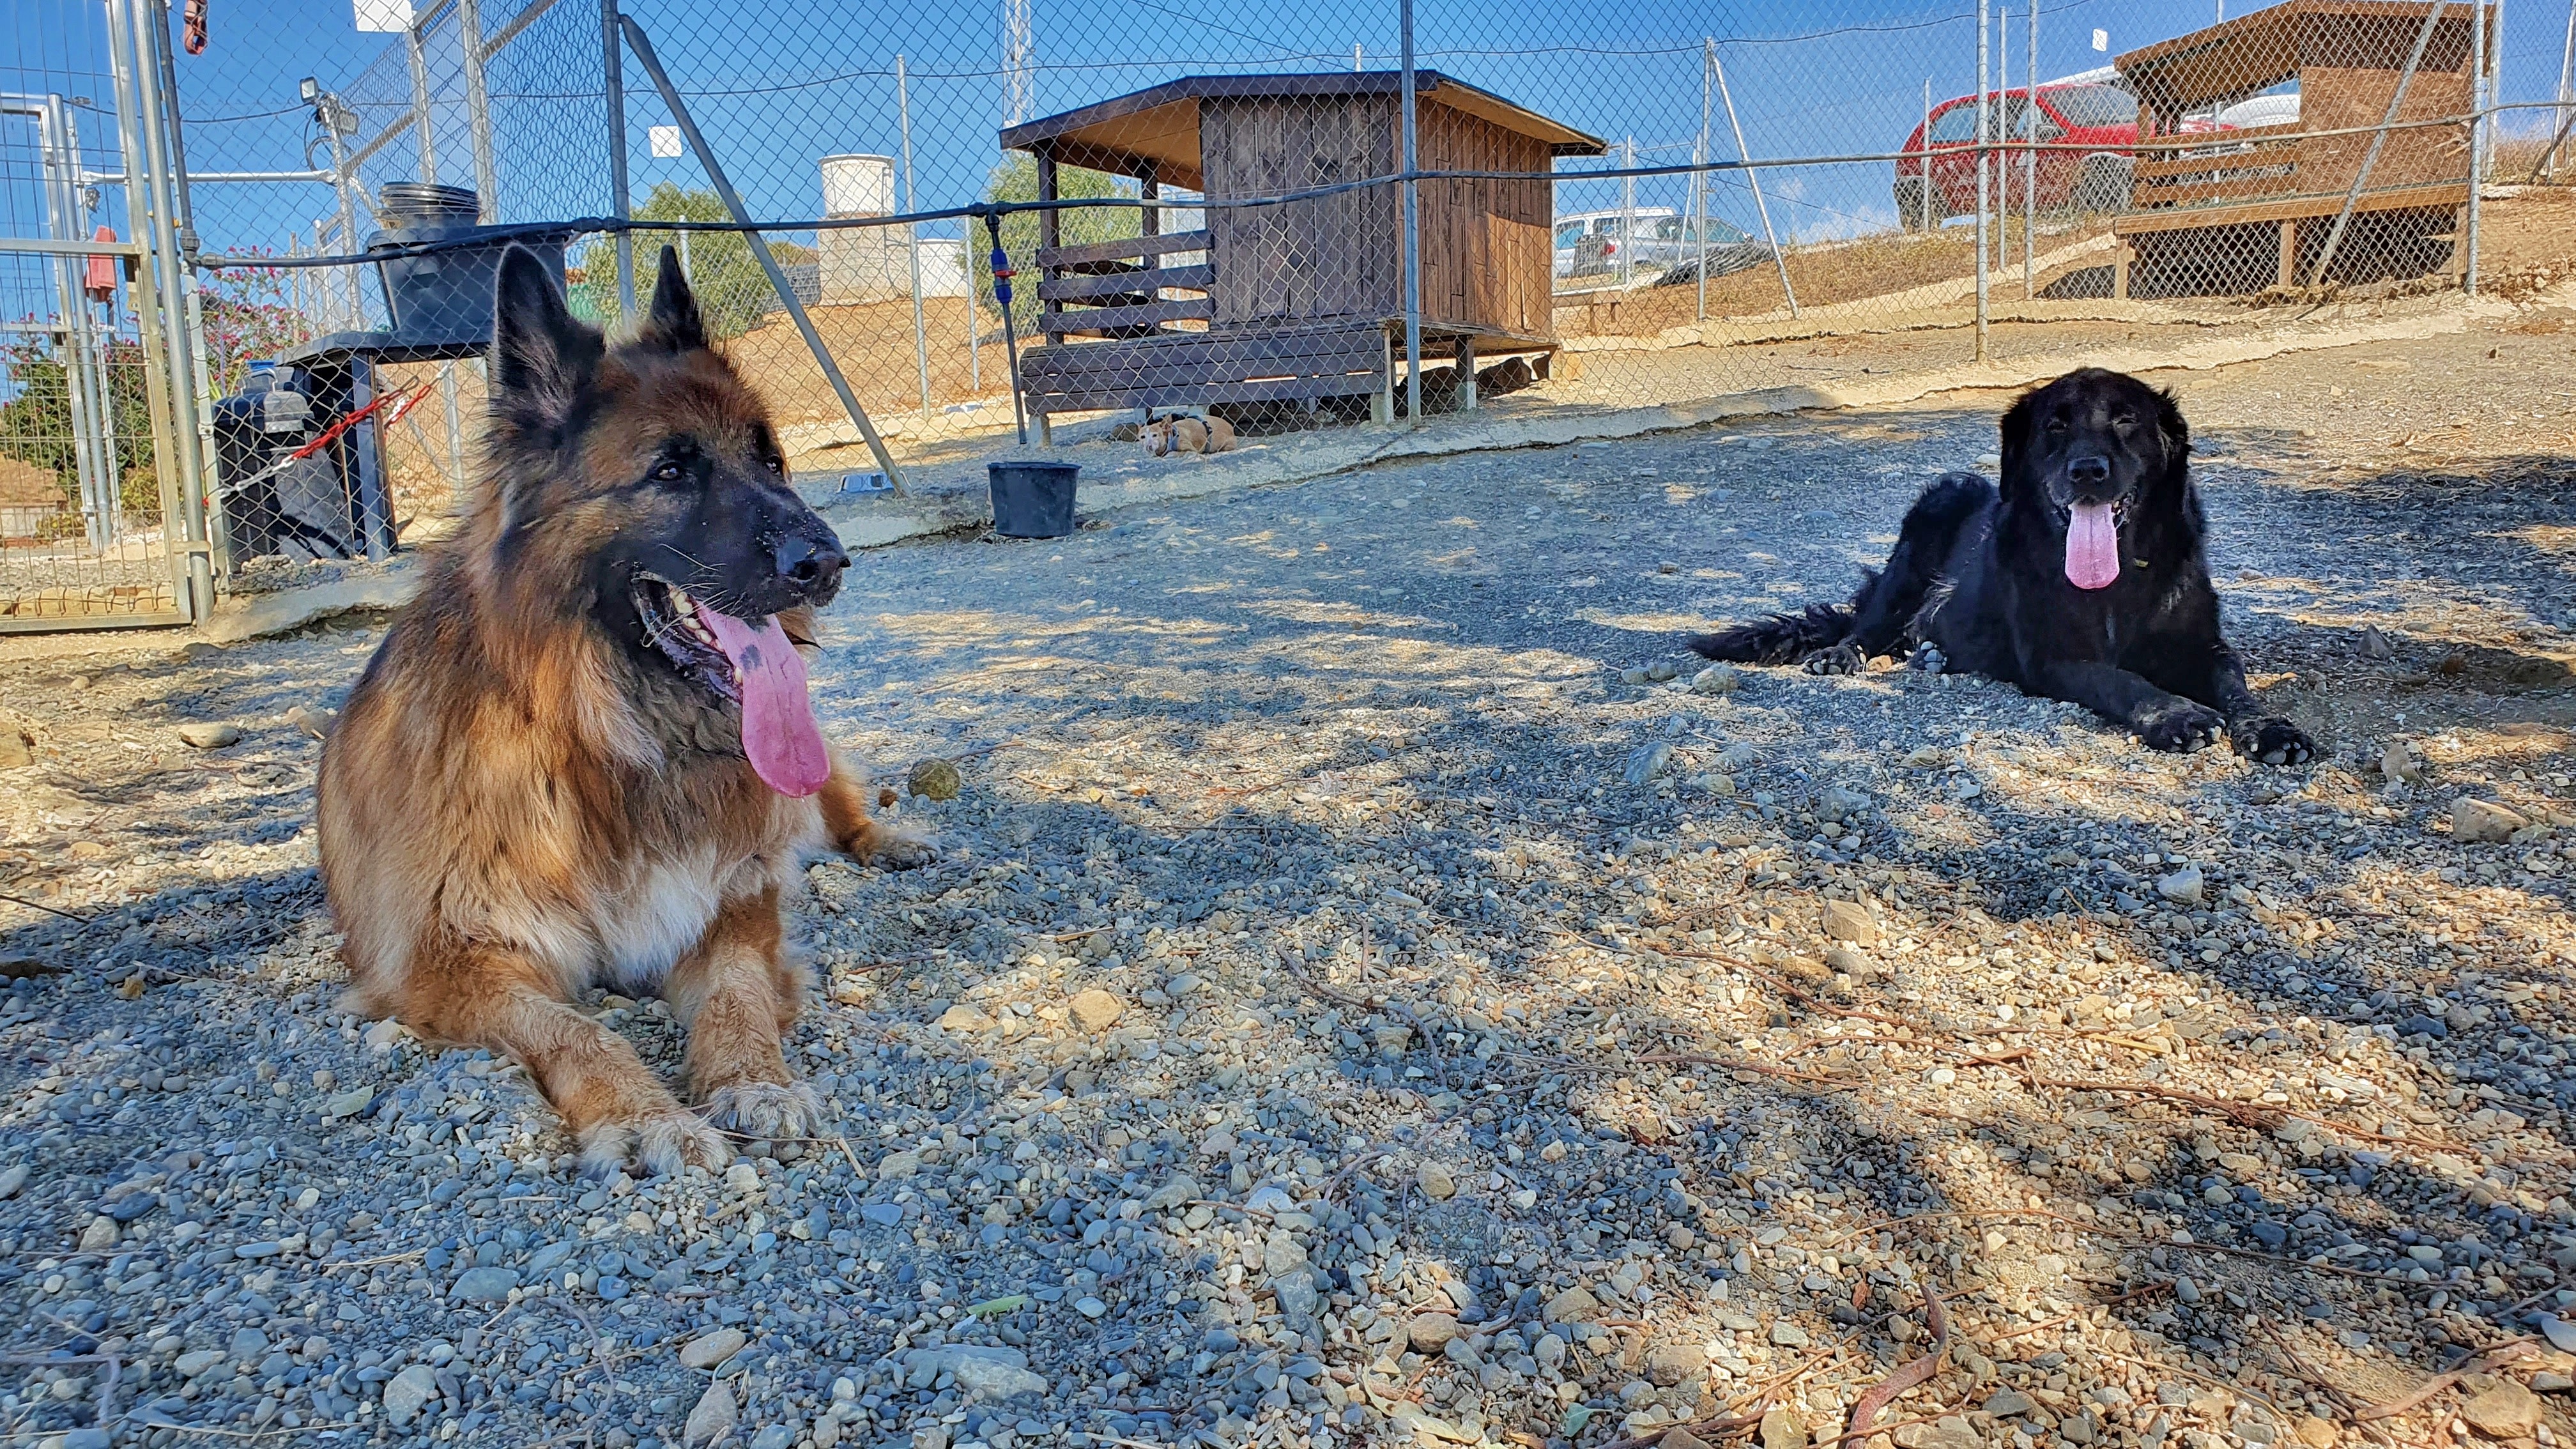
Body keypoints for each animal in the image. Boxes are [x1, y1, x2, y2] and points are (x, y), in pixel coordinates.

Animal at [317, 245, 921, 1177]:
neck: (606, 742)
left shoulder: (732, 905)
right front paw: (644, 1114)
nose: (827, 563)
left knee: (840, 808)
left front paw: (756, 1079)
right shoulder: (449, 963)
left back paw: (887, 840)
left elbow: (739, 996)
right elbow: (577, 1032)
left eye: (772, 461)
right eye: (671, 471)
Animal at [1688, 367, 2313, 765]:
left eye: (2126, 421)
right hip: (1929, 519)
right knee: (1869, 627)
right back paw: (1846, 654)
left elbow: (2237, 686)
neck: (2116, 581)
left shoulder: (2204, 645)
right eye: (2055, 426)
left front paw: (2270, 728)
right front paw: (2174, 715)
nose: (2088, 471)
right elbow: (2122, 680)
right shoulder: (2053, 657)